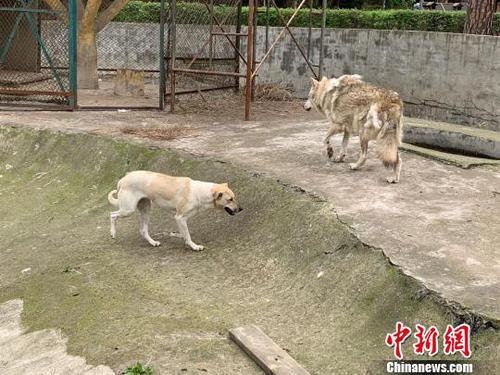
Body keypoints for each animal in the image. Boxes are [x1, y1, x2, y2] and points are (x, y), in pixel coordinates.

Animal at [107, 172, 242, 251]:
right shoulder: (180, 217)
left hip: (146, 210)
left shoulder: (180, 220)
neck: (200, 192)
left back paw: (153, 243)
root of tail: (123, 178)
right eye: (230, 199)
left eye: (234, 197)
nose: (241, 209)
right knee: (112, 214)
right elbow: (187, 234)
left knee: (143, 230)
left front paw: (180, 237)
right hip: (128, 210)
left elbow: (184, 233)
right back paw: (113, 233)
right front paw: (194, 246)